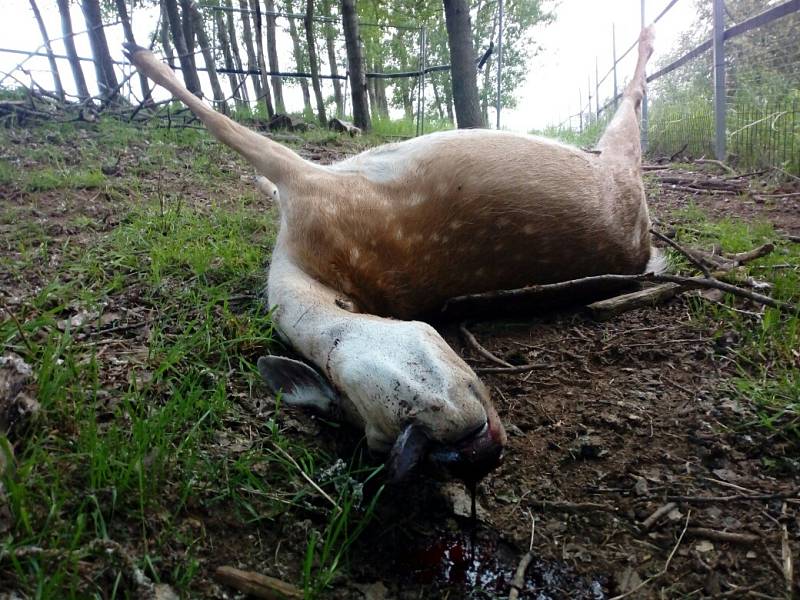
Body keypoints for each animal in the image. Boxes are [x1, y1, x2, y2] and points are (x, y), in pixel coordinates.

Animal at [125, 28, 660, 482]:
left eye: (408, 413)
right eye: (384, 441)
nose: (475, 456)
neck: (300, 267)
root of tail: (646, 244)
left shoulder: (306, 180)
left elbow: (224, 126)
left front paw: (141, 53)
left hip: (615, 158)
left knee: (632, 100)